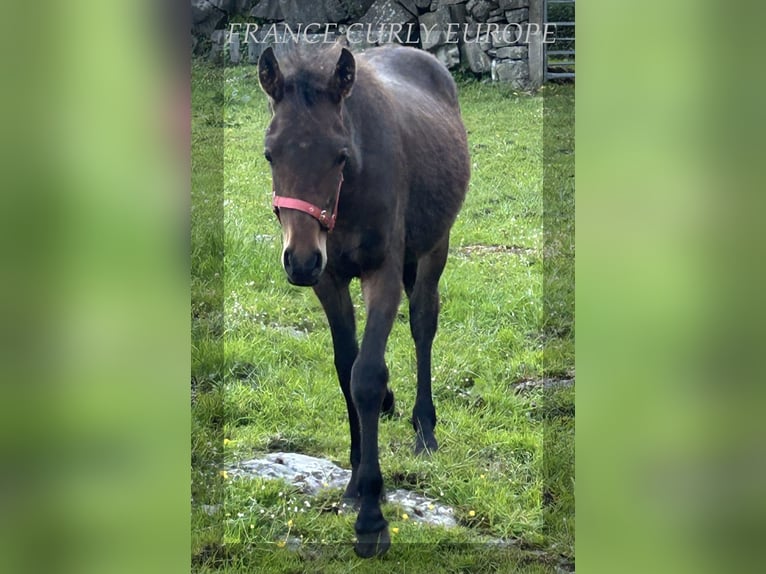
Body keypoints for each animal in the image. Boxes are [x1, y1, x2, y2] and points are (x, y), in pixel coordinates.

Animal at [258, 41, 472, 560]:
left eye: (339, 155)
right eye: (270, 154)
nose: (299, 260)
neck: (348, 195)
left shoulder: (383, 275)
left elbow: (368, 376)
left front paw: (372, 518)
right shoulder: (330, 281)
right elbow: (345, 369)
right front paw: (355, 481)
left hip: (434, 248)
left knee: (422, 324)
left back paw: (425, 430)